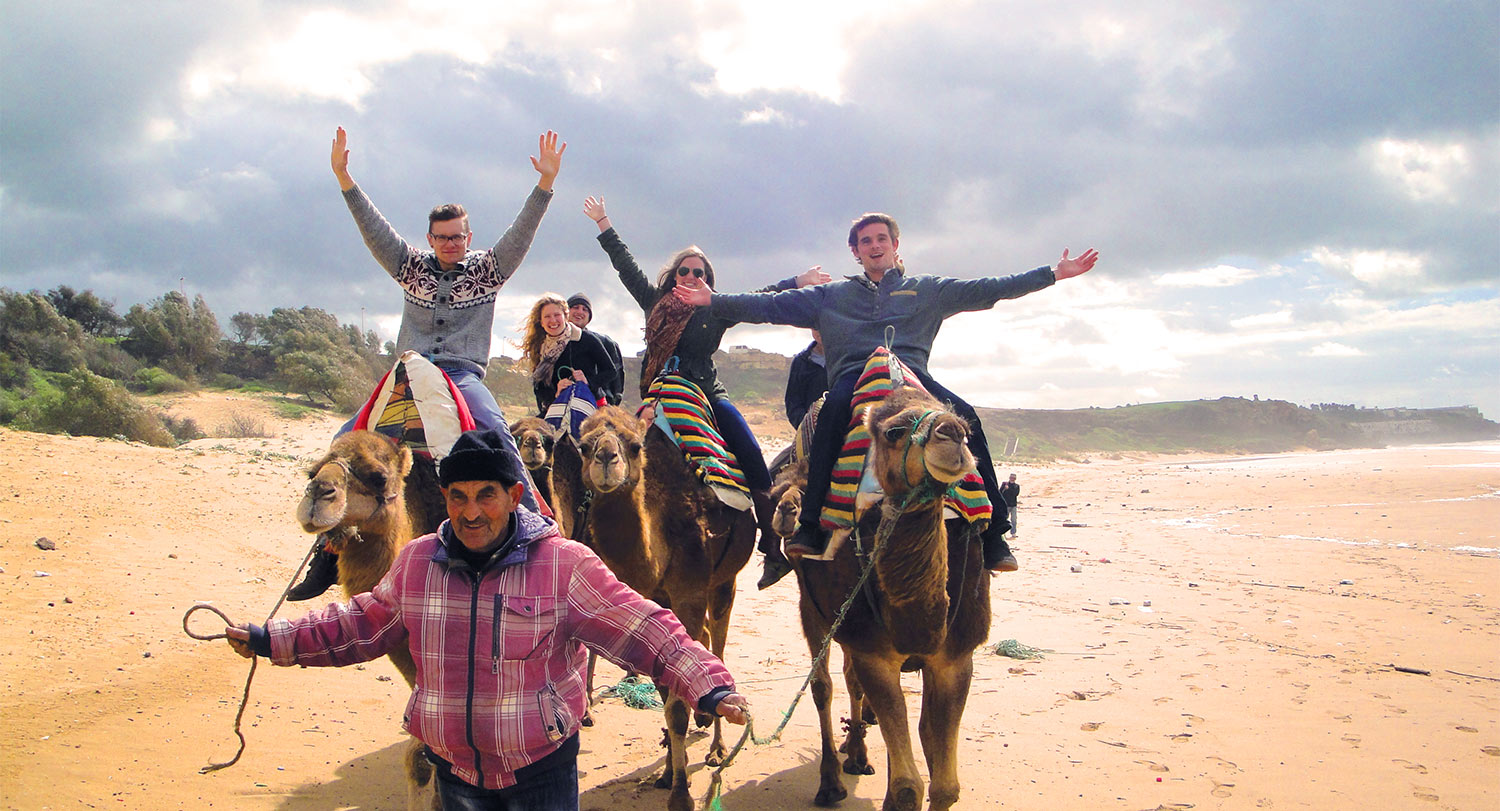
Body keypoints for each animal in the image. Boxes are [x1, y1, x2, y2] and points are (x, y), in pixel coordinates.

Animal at [552, 407, 756, 809]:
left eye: (634, 445)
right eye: (584, 446)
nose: (606, 458)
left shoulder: (690, 590)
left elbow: (676, 702)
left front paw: (681, 794)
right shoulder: (655, 599)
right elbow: (666, 690)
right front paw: (670, 775)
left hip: (723, 582)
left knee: (718, 644)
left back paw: (717, 749)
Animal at [792, 386, 990, 809]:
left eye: (967, 430)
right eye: (894, 431)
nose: (952, 435)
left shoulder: (955, 657)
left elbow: (943, 781)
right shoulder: (876, 654)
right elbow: (908, 786)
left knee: (852, 681)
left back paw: (857, 755)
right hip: (810, 603)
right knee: (823, 685)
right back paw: (830, 782)